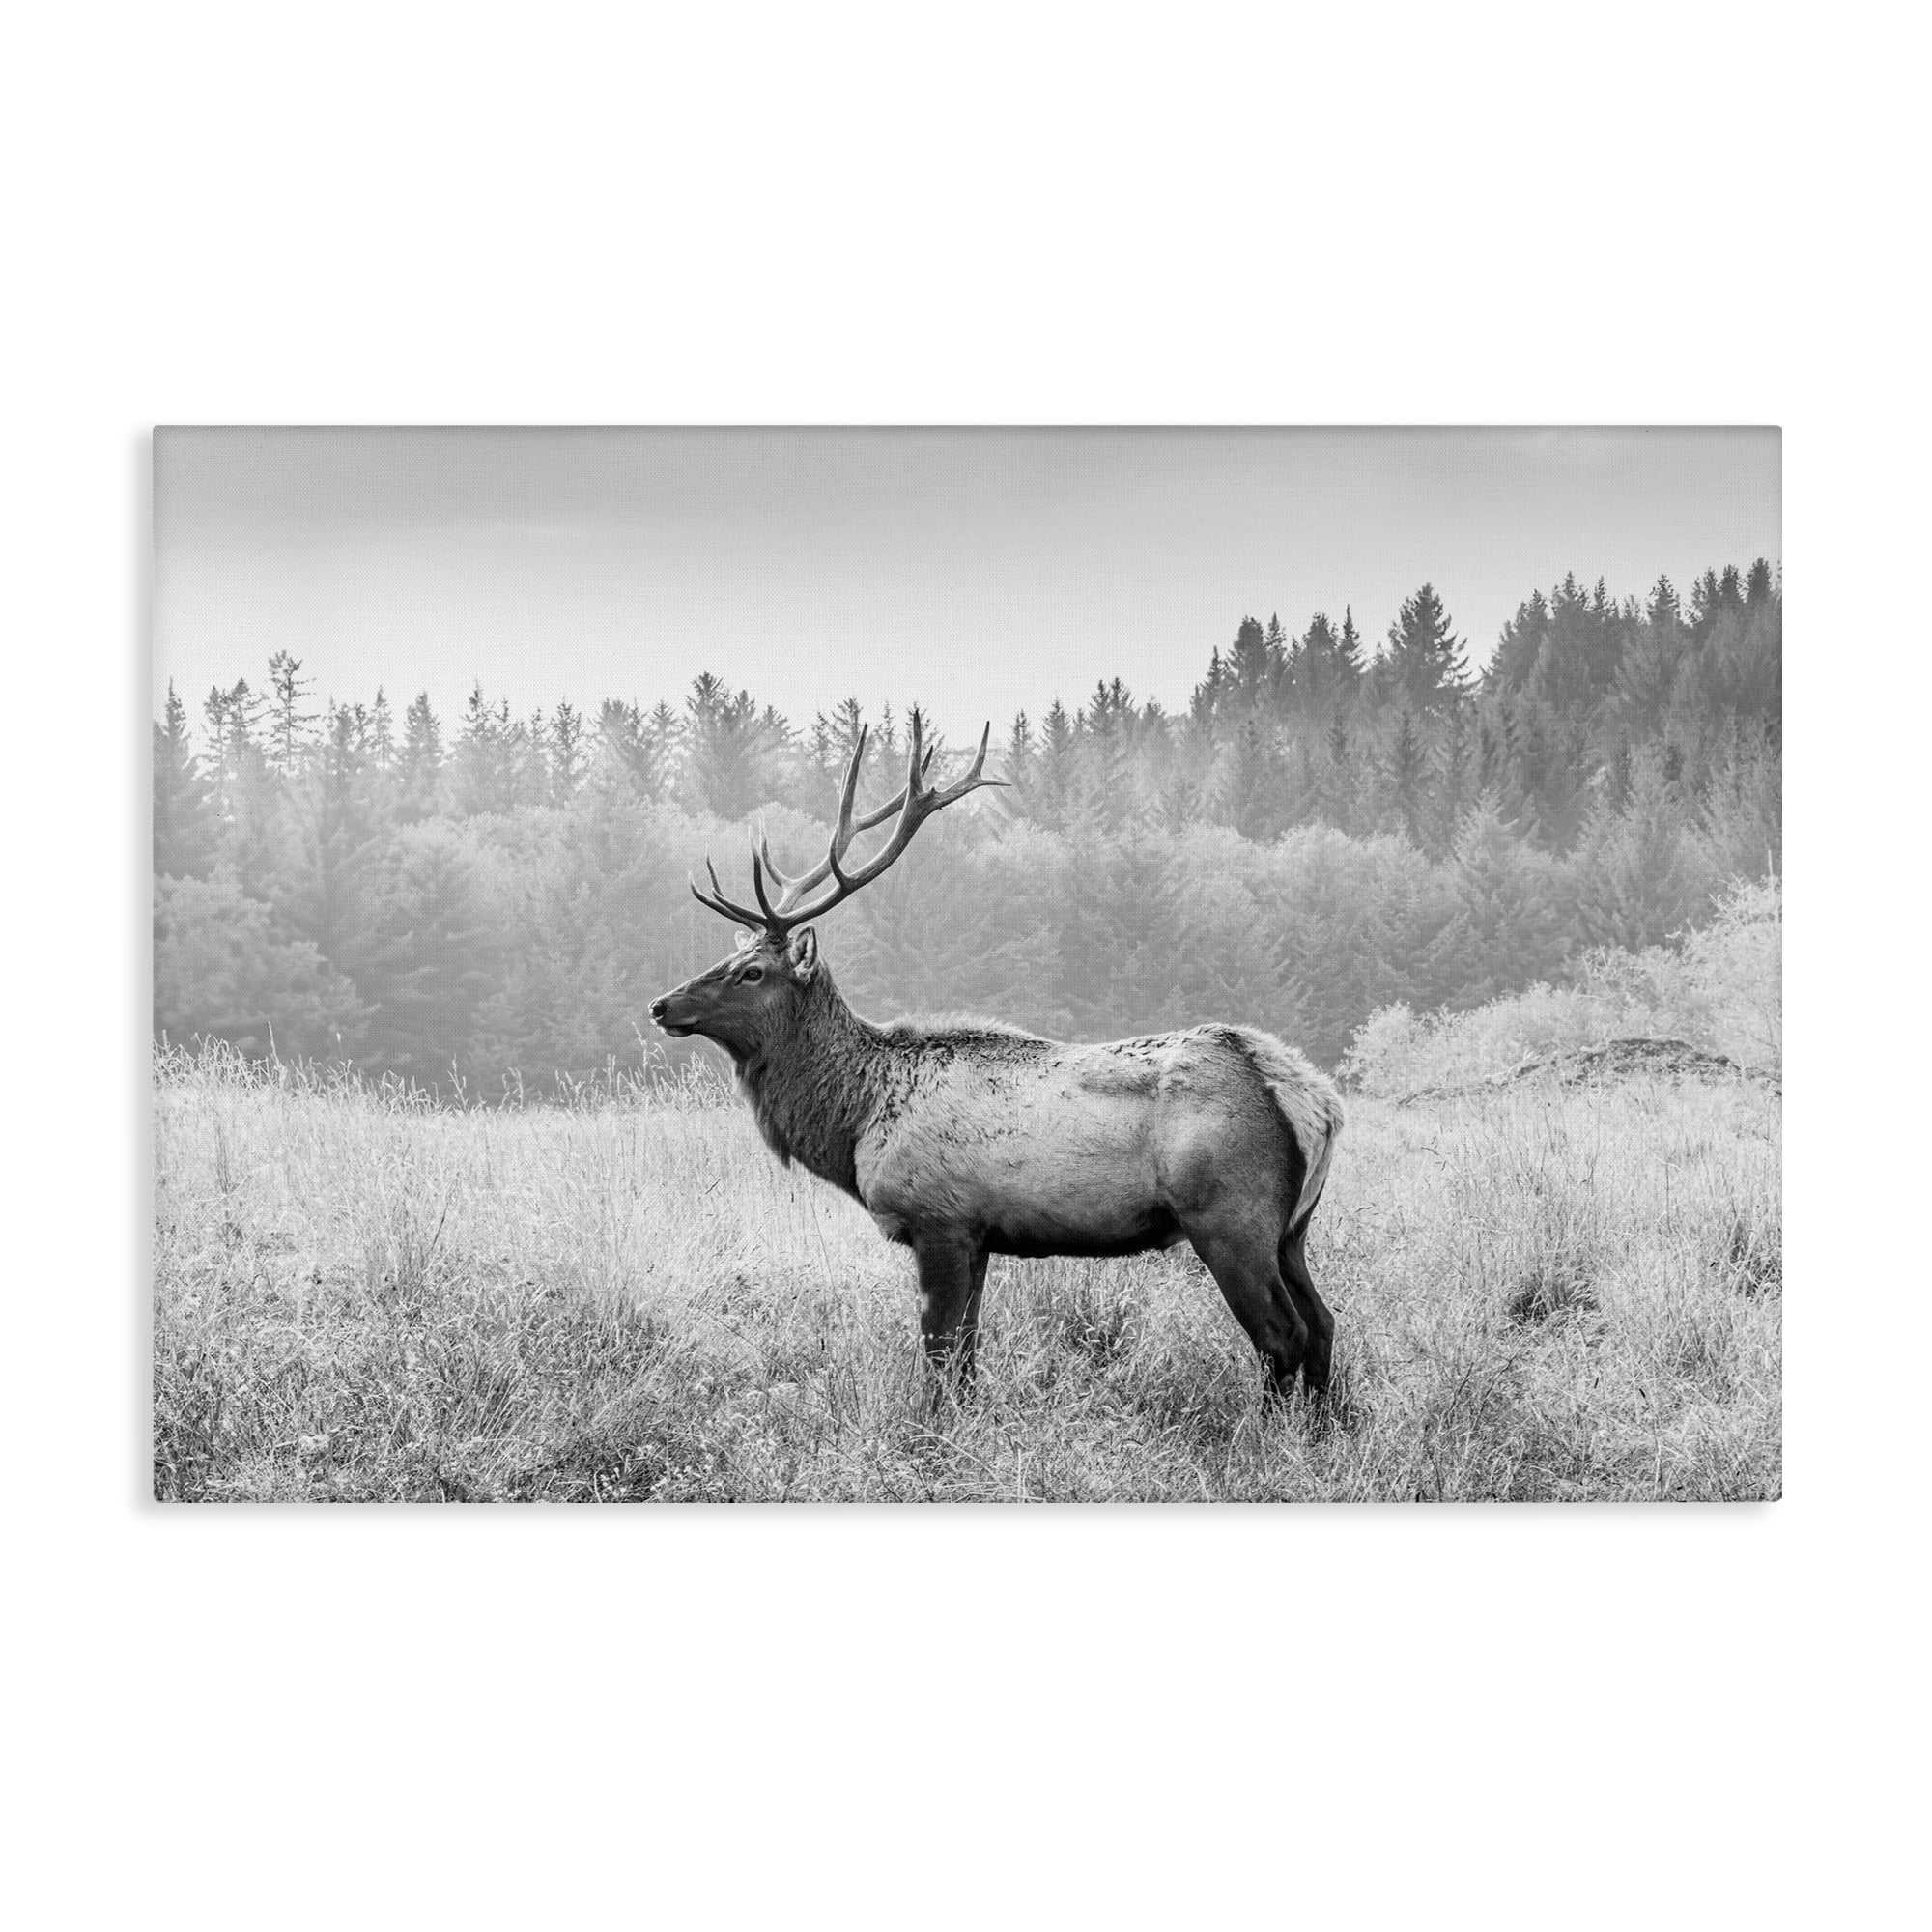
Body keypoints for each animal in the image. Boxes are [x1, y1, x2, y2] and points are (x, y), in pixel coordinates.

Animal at [649, 712, 1344, 1407]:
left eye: (751, 972)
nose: (661, 1005)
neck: (858, 1120)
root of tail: (1313, 1100)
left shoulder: (939, 1220)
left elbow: (939, 1353)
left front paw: (933, 1428)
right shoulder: (980, 1234)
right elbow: (966, 1353)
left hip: (1229, 1215)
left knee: (1281, 1334)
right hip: (1291, 1229)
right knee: (1323, 1322)